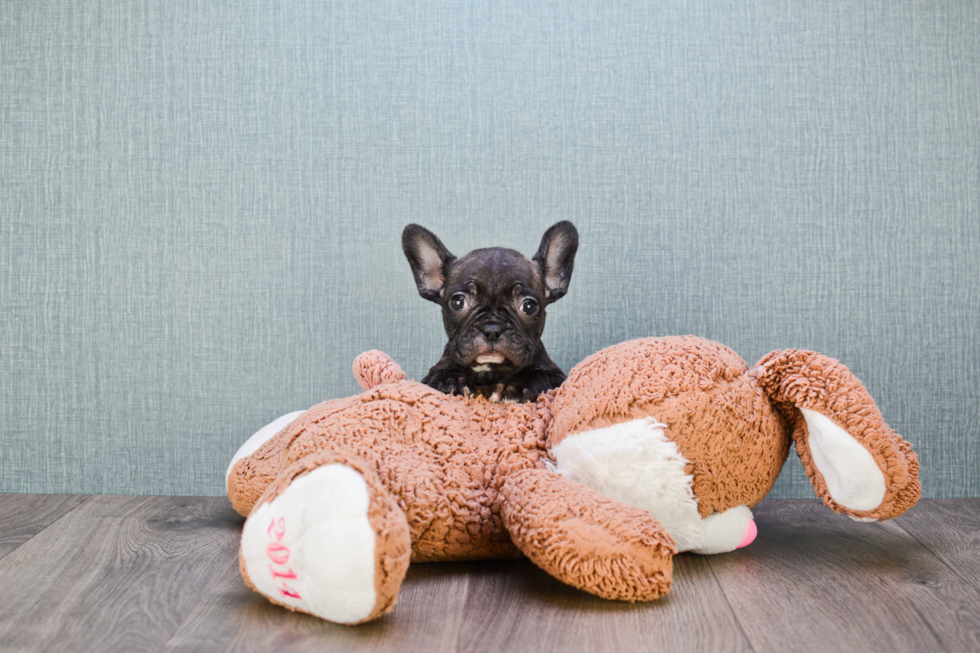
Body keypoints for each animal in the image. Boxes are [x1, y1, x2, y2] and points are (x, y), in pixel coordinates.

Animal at [402, 222, 580, 400]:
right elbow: (439, 375)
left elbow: (537, 375)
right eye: (458, 302)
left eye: (529, 306)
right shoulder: (432, 374)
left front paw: (514, 385)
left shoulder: (555, 376)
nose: (492, 330)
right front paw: (451, 380)